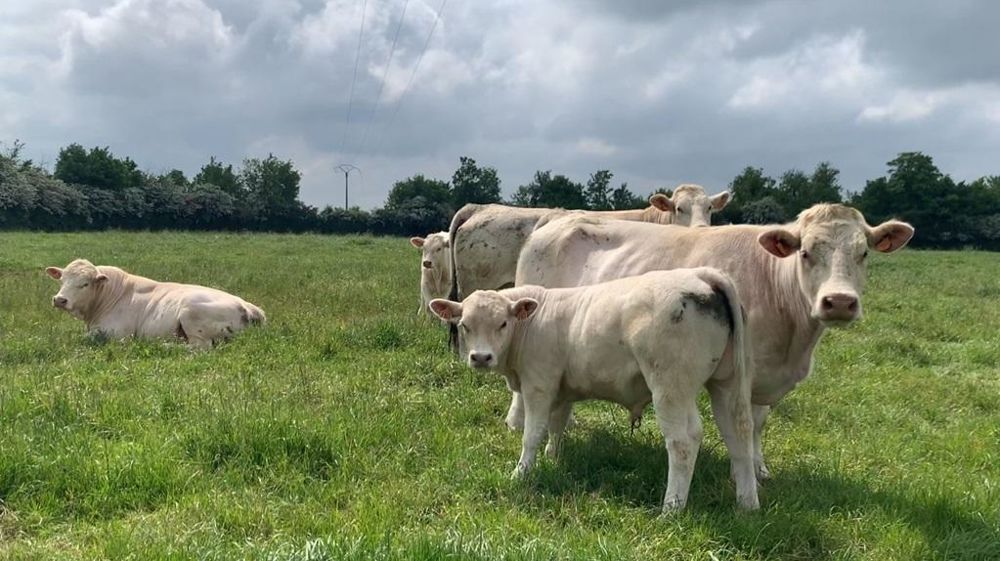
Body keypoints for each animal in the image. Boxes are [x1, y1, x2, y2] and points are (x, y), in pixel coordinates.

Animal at [46, 258, 265, 349]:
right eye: (62, 280)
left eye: (84, 284)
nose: (60, 299)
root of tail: (248, 306)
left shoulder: (116, 334)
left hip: (191, 315)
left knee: (199, 348)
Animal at [429, 268, 758, 511]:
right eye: (465, 325)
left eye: (502, 323)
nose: (481, 357)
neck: (533, 322)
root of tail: (702, 274)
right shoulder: (562, 390)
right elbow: (557, 425)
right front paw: (553, 456)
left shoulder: (539, 386)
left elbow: (532, 434)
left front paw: (521, 473)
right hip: (726, 383)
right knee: (738, 433)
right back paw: (747, 504)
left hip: (671, 386)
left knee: (683, 441)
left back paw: (672, 507)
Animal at [511, 204, 914, 481]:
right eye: (805, 252)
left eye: (864, 253)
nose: (840, 302)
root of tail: (559, 219)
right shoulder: (747, 371)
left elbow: (756, 424)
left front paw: (758, 468)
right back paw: (517, 423)